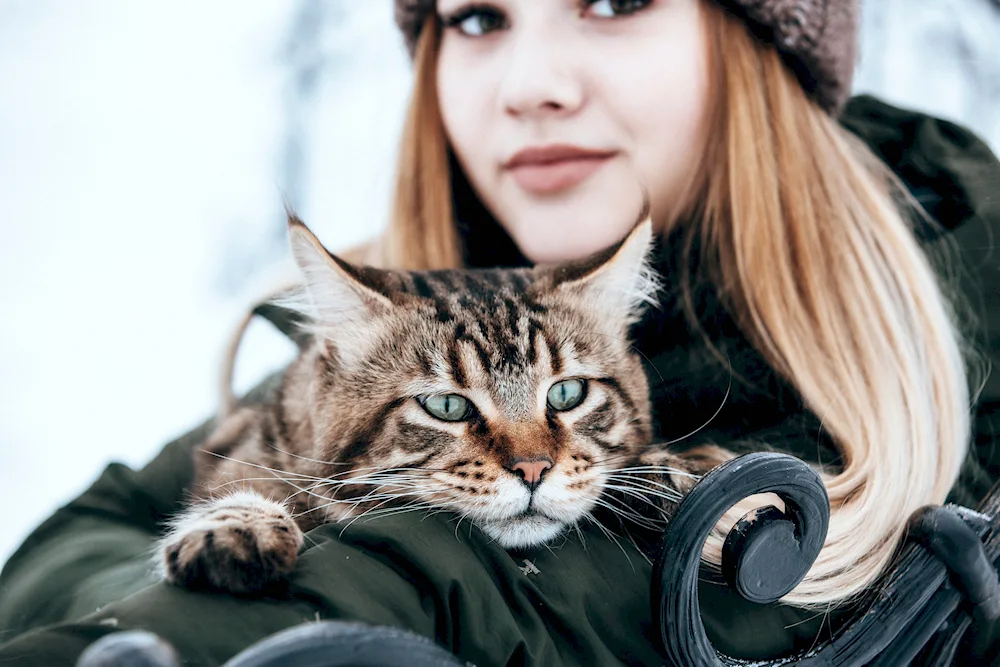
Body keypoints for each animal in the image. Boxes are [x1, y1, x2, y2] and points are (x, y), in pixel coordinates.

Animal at [158, 214, 704, 596]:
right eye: (446, 406)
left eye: (566, 394)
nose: (533, 469)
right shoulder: (241, 446)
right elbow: (244, 488)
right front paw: (235, 529)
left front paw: (677, 470)